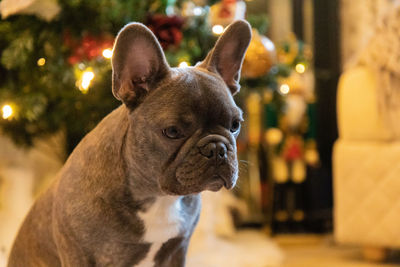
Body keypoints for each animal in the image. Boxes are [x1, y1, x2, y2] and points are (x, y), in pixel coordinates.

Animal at [7, 19, 252, 266]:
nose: (217, 148)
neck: (157, 197)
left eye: (235, 125)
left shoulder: (178, 248)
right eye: (172, 132)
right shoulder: (80, 255)